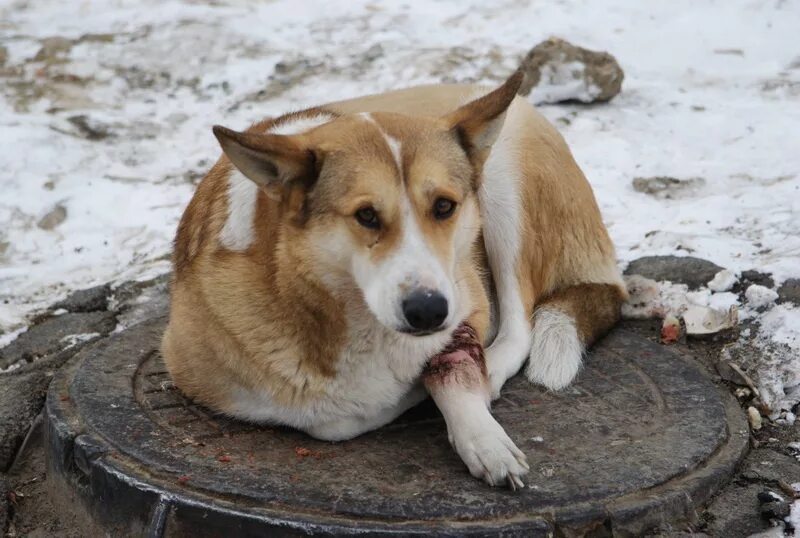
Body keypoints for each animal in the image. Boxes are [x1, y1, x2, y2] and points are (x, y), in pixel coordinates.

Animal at [161, 71, 624, 486]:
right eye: (366, 215)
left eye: (444, 206)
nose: (429, 311)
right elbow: (337, 419)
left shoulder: (466, 300)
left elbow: (451, 371)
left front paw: (482, 437)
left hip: (505, 186)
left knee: (519, 327)